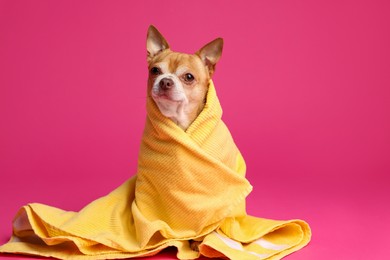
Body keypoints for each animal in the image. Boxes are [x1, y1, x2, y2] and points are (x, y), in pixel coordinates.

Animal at [0, 80, 310, 258]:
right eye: (155, 70)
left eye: (189, 76)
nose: (164, 81)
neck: (182, 123)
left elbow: (212, 226)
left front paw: (200, 243)